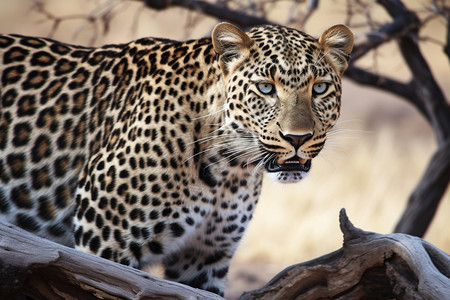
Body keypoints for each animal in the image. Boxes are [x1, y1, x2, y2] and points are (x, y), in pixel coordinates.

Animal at [0, 22, 352, 296]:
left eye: (320, 88)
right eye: (266, 89)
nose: (298, 138)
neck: (230, 167)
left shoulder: (204, 260)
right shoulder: (102, 243)